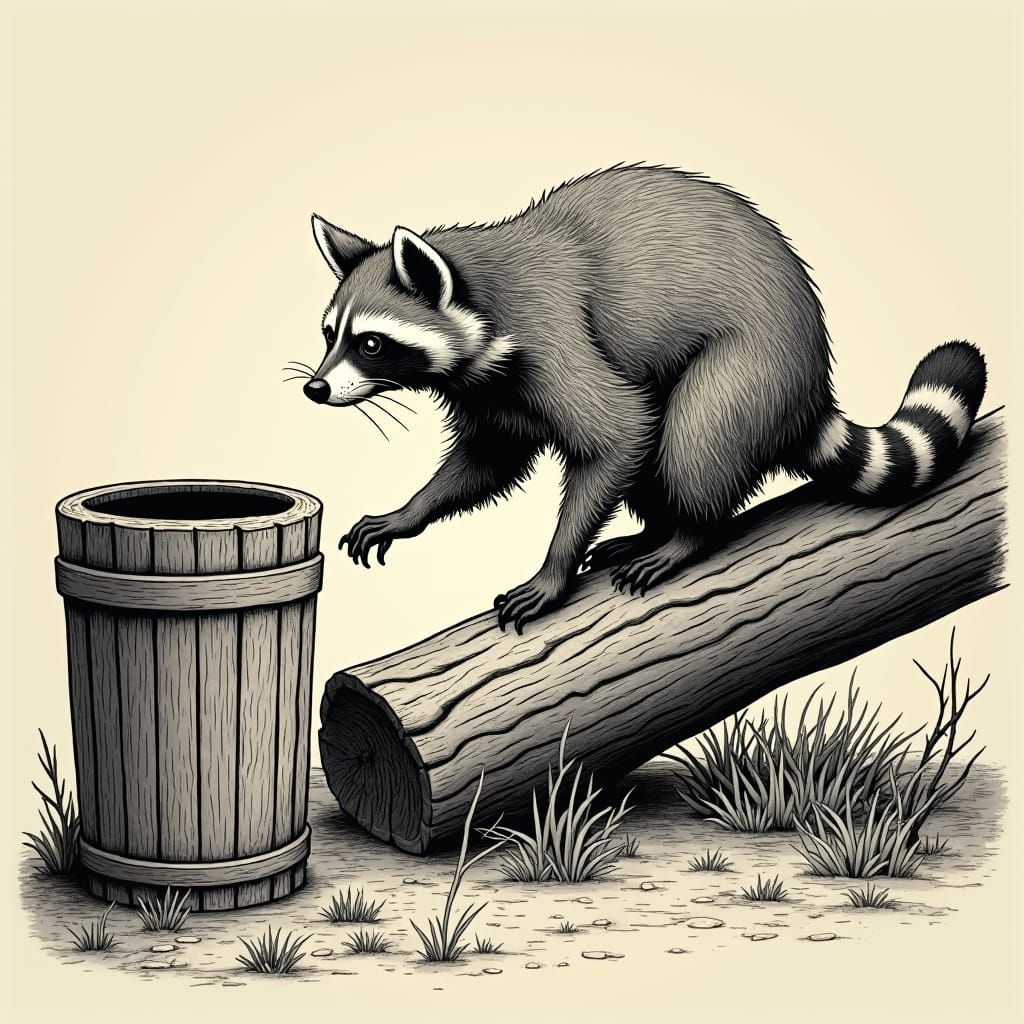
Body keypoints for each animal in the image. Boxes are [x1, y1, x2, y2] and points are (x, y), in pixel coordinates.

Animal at [302, 164, 986, 633]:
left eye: (371, 344)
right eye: (330, 334)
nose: (315, 388)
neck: (484, 294)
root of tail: (813, 382)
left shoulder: (554, 335)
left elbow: (619, 432)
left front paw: (553, 567)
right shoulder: (492, 389)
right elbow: (487, 462)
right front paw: (411, 510)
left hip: (749, 367)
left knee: (690, 439)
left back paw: (688, 534)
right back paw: (653, 528)